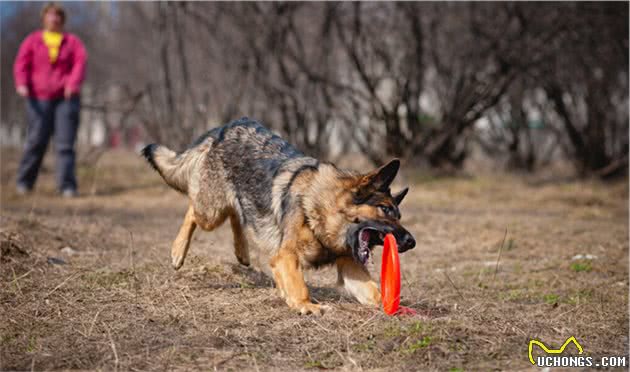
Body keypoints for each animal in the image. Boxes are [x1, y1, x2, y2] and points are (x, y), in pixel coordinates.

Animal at [145, 117, 418, 314]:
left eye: (399, 214)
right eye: (385, 210)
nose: (411, 242)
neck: (322, 209)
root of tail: (223, 129)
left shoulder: (351, 266)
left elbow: (374, 291)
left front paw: (398, 307)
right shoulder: (285, 256)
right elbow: (299, 285)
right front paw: (306, 305)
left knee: (236, 214)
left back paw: (242, 252)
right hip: (211, 212)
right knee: (194, 210)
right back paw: (178, 252)